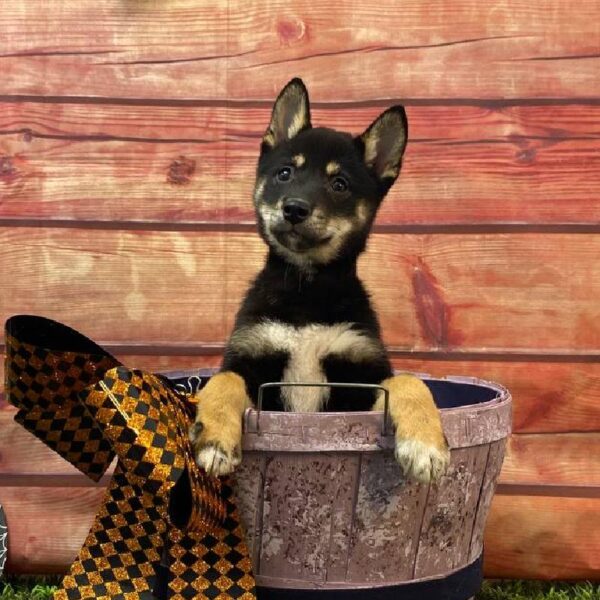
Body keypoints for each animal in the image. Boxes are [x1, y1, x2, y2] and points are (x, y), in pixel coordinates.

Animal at [190, 78, 448, 482]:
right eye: (285, 173)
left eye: (339, 184)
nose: (294, 209)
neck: (306, 288)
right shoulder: (250, 357)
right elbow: (223, 381)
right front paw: (216, 438)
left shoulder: (360, 379)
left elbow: (408, 380)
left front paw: (425, 446)